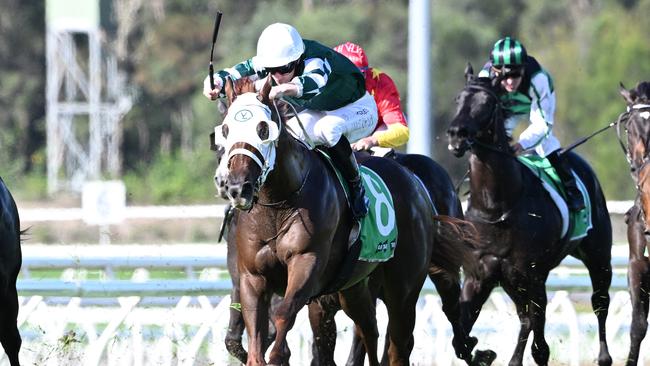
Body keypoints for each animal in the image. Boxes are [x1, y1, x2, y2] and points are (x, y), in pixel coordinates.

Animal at [211, 76, 446, 364]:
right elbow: (254, 336)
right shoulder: (251, 277)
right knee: (369, 329)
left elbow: (283, 318)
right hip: (355, 286)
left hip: (403, 288)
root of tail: (413, 181)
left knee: (397, 345)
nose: (236, 187)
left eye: (263, 129)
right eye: (225, 131)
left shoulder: (307, 263)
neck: (278, 205)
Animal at [446, 66, 612, 366]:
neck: (497, 207)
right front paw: (483, 353)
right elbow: (461, 340)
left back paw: (604, 356)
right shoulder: (480, 275)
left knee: (599, 302)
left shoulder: (531, 275)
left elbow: (536, 337)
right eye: (458, 99)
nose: (456, 135)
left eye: (486, 103)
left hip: (597, 256)